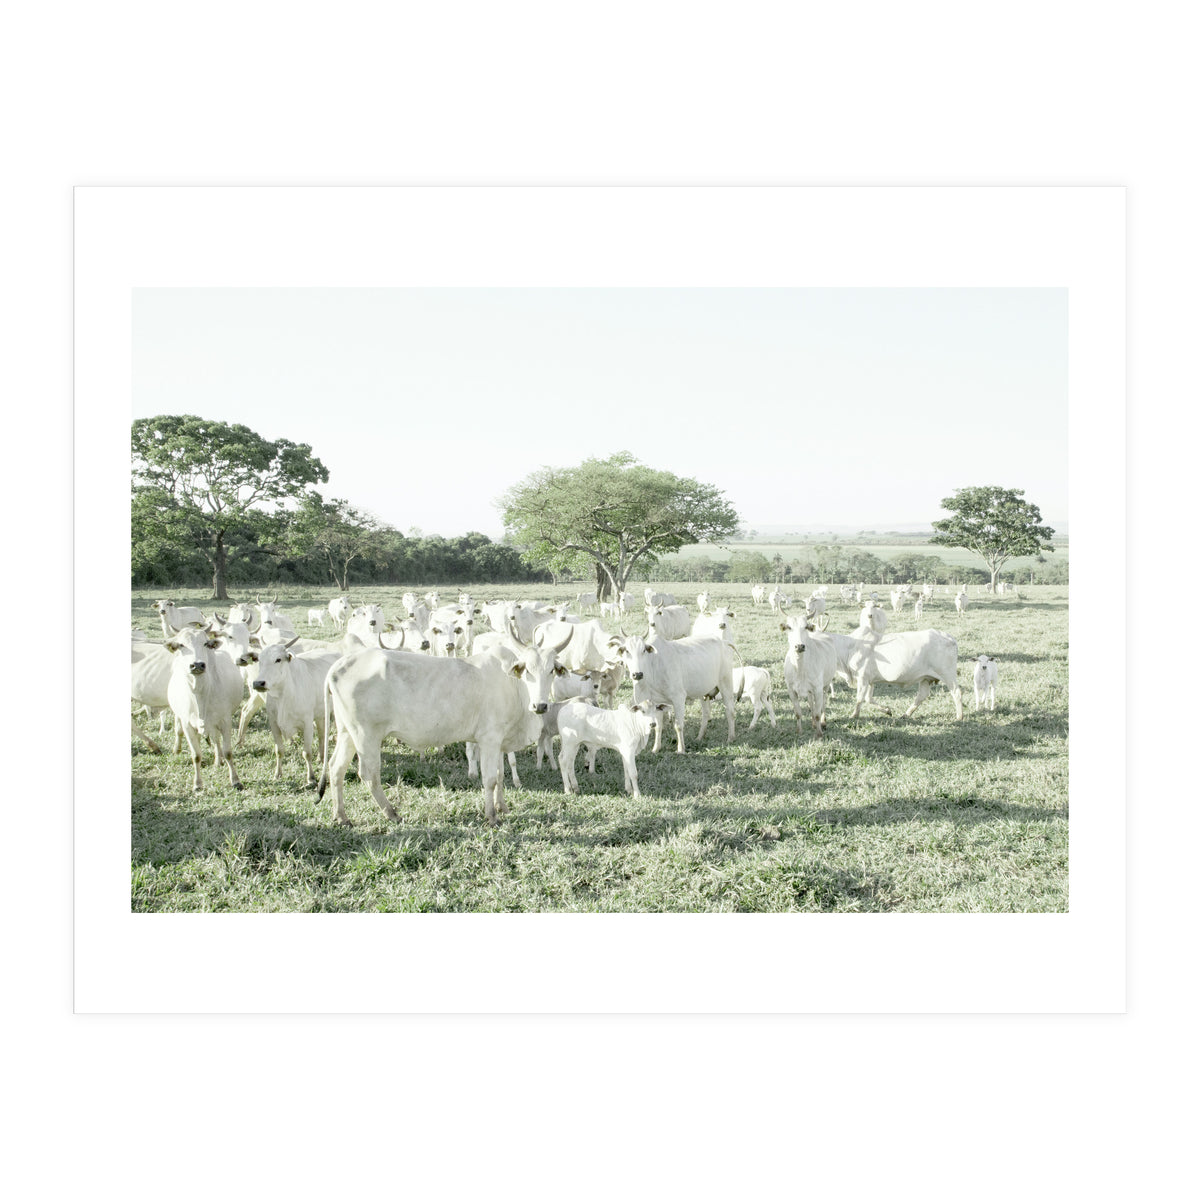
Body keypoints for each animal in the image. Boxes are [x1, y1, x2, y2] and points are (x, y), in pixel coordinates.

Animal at [164, 627, 246, 791]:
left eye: (205, 643)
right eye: (181, 645)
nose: (197, 665)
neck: (201, 694)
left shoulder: (225, 721)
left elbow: (228, 752)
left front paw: (235, 780)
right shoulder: (187, 724)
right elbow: (196, 755)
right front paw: (197, 784)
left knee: (215, 740)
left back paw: (218, 760)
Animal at [250, 639, 341, 784]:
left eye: (278, 659)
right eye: (259, 660)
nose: (259, 683)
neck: (283, 696)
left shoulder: (307, 724)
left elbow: (307, 753)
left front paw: (311, 778)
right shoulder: (274, 724)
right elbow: (279, 750)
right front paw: (277, 774)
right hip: (320, 714)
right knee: (322, 734)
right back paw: (321, 757)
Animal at [317, 621, 574, 826]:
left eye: (551, 671)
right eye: (527, 670)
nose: (540, 706)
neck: (514, 686)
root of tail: (340, 664)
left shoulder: (500, 741)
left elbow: (501, 775)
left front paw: (502, 807)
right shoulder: (489, 738)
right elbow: (490, 779)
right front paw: (491, 816)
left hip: (347, 733)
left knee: (336, 768)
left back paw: (341, 816)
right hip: (366, 735)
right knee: (369, 774)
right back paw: (392, 813)